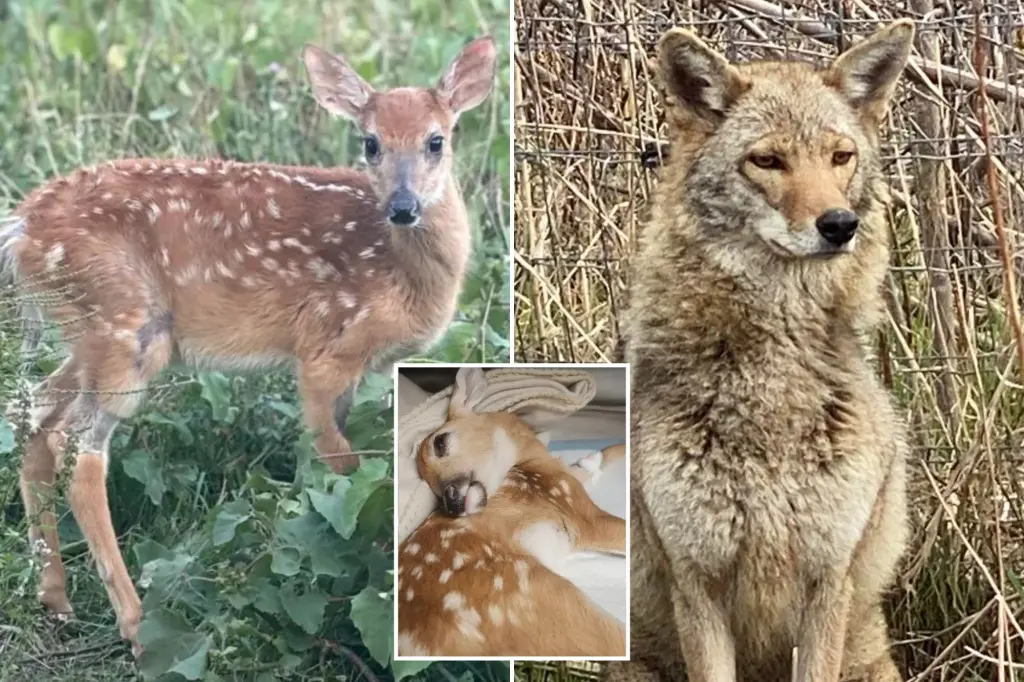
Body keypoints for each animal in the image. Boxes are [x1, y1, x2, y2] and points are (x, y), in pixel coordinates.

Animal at [0, 36, 497, 656]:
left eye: (437, 140)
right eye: (371, 142)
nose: (403, 206)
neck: (403, 270)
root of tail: (20, 228)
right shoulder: (325, 350)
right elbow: (344, 465)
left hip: (88, 333)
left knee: (32, 412)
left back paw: (56, 599)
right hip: (124, 324)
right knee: (75, 448)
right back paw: (135, 625)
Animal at [397, 367, 627, 657]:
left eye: (440, 441)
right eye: (432, 489)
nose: (453, 503)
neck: (529, 462)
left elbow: (599, 458)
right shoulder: (576, 510)